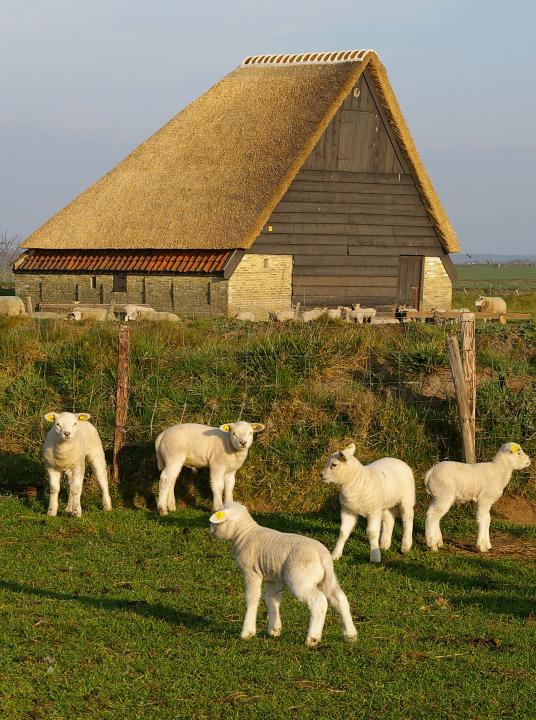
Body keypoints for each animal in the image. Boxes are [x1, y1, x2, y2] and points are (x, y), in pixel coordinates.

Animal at [208, 500, 356, 648]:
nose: (210, 529)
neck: (244, 533)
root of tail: (323, 555)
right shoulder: (273, 578)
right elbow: (272, 600)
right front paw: (274, 629)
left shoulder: (252, 572)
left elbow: (252, 598)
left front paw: (247, 632)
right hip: (327, 579)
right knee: (340, 599)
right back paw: (350, 634)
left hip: (300, 579)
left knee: (318, 601)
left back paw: (312, 639)